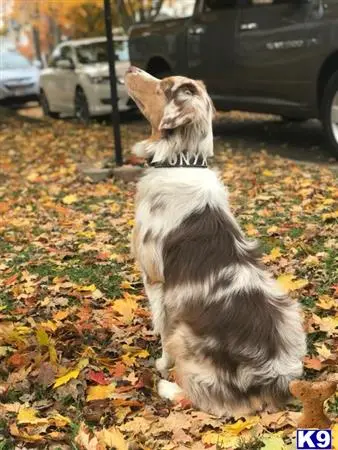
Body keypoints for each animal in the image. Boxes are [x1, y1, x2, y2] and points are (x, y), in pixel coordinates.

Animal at [124, 67, 306, 418]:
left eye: (164, 86)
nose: (129, 68)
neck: (181, 160)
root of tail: (272, 380)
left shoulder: (155, 280)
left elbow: (161, 328)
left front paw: (162, 364)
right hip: (291, 312)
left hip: (186, 334)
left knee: (204, 398)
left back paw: (168, 387)